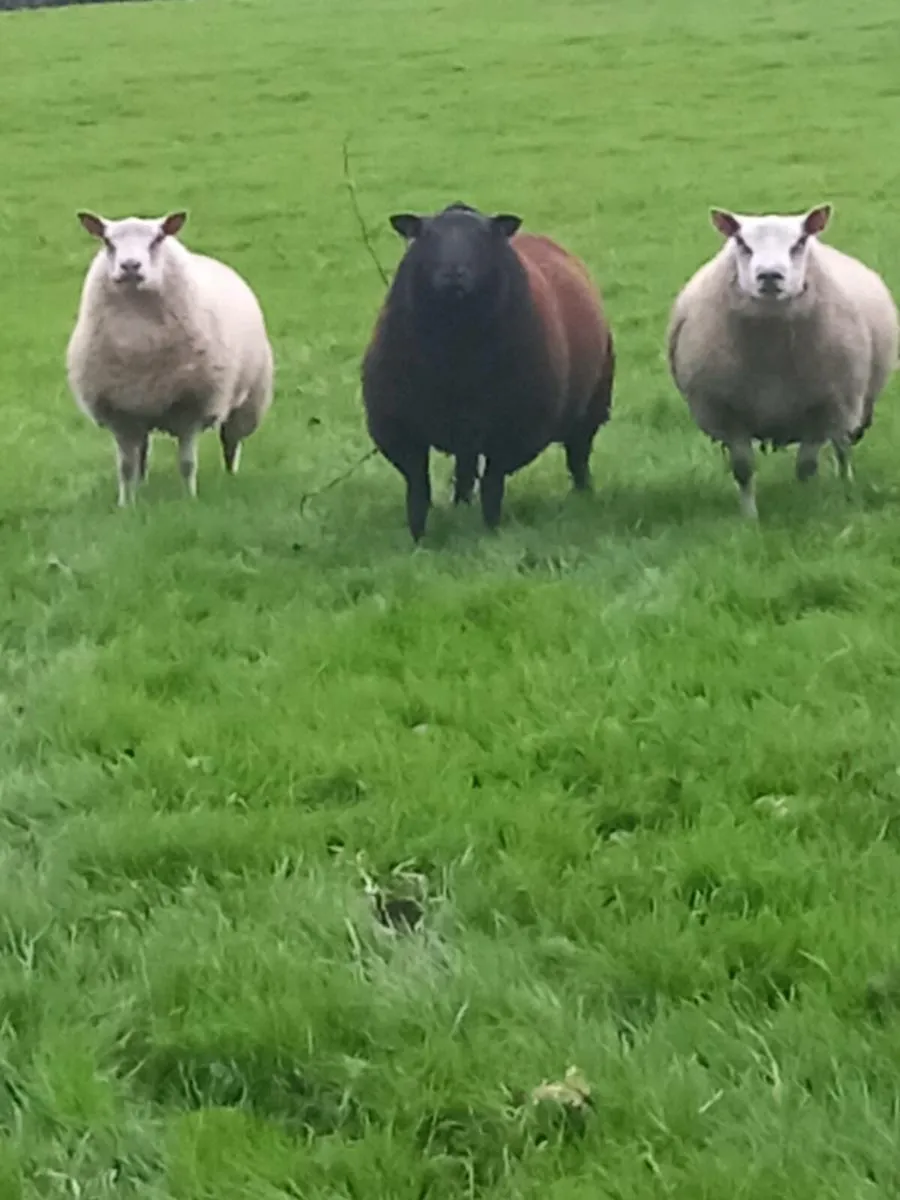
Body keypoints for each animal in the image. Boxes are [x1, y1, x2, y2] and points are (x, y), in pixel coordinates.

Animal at [66, 210, 274, 505]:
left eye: (157, 239)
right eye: (108, 241)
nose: (130, 266)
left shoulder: (191, 409)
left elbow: (187, 464)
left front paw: (190, 501)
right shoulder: (121, 414)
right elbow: (125, 467)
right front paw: (126, 505)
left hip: (249, 400)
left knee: (231, 442)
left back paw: (231, 476)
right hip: (140, 412)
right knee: (141, 453)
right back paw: (141, 484)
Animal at [360, 202, 615, 541]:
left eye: (483, 237)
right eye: (426, 235)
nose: (453, 272)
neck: (455, 354)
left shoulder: (513, 429)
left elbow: (493, 485)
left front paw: (491, 530)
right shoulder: (399, 428)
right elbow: (418, 489)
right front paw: (418, 539)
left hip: (593, 403)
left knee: (578, 455)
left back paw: (584, 495)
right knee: (465, 467)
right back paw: (461, 505)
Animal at [667, 203, 899, 518]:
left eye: (799, 243)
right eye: (742, 243)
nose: (769, 275)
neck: (771, 355)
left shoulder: (821, 410)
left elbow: (806, 468)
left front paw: (804, 506)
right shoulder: (728, 414)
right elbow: (743, 469)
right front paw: (749, 518)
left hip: (848, 402)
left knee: (842, 445)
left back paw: (846, 482)